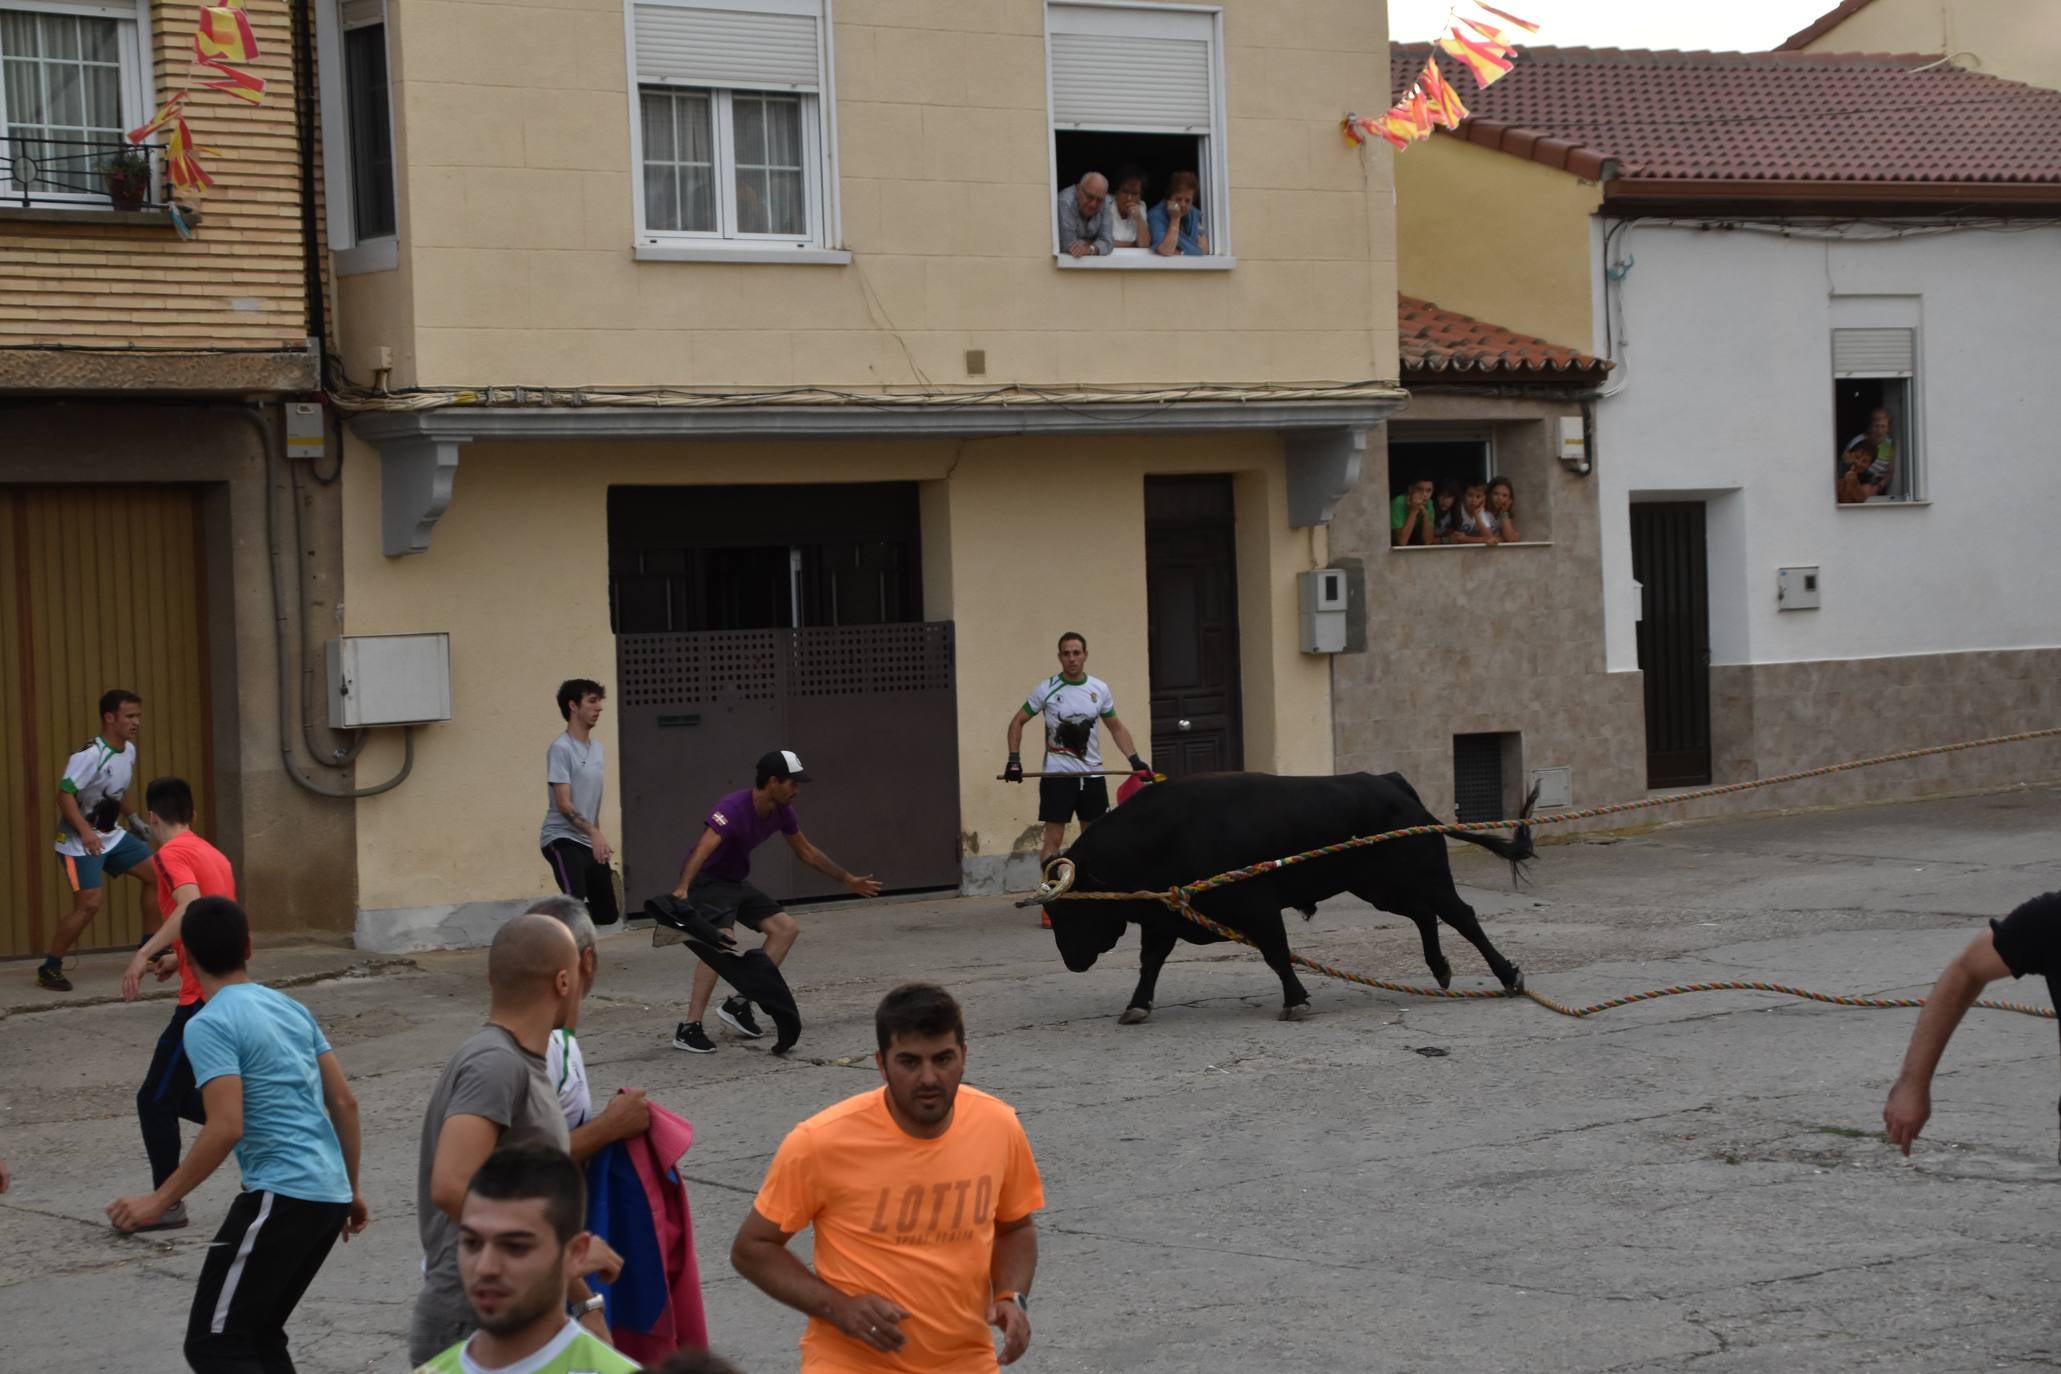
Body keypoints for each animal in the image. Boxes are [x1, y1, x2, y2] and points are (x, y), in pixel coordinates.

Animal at [1046, 774, 1533, 1021]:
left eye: (1073, 907)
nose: (1071, 960)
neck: (1165, 835)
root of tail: (1391, 783)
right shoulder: (1165, 915)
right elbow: (1151, 962)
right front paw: (1136, 1006)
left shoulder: (1258, 907)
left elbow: (1277, 954)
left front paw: (1296, 1001)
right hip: (1378, 887)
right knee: (1423, 915)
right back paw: (1442, 970)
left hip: (1424, 875)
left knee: (1460, 915)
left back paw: (1508, 976)